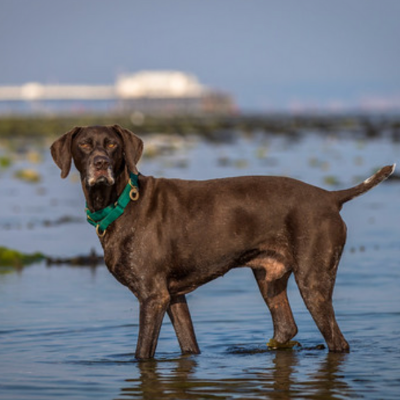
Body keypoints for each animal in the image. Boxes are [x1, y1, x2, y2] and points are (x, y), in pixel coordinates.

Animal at [50, 125, 394, 360]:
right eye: (84, 145)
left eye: (112, 145)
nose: (100, 164)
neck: (120, 202)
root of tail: (331, 197)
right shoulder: (172, 297)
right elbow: (189, 345)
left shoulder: (152, 297)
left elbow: (142, 354)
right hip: (269, 278)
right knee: (286, 327)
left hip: (313, 281)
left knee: (338, 342)